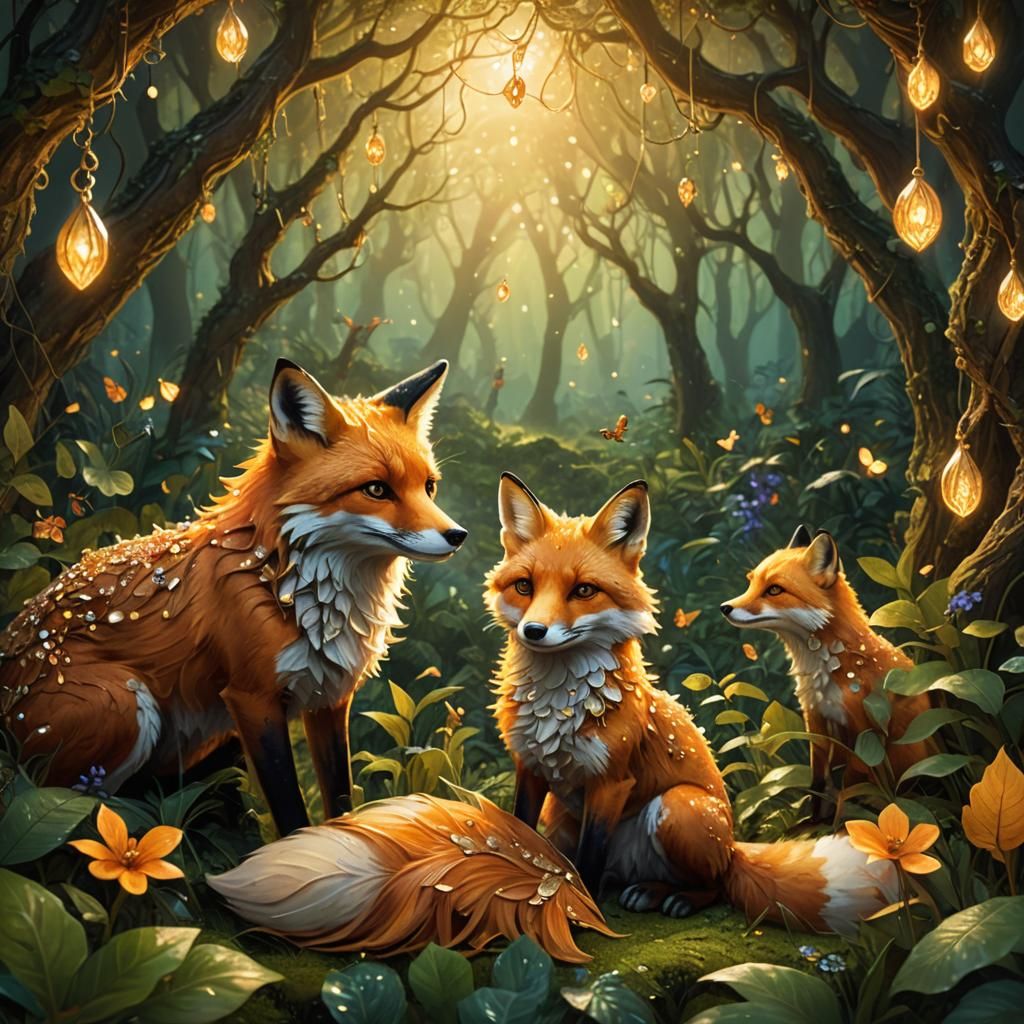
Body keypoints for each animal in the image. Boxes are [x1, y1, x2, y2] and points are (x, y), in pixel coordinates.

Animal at [0, 359, 467, 836]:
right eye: (376, 489)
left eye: (429, 487)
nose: (457, 535)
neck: (293, 593)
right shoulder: (252, 699)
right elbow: (290, 808)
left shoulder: (330, 700)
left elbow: (339, 799)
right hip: (124, 705)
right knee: (77, 807)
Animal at [486, 474, 897, 931]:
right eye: (524, 586)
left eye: (584, 590)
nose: (533, 631)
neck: (559, 706)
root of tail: (733, 844)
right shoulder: (530, 768)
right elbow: (521, 836)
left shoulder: (611, 783)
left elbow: (589, 863)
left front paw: (582, 918)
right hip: (560, 817)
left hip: (679, 806)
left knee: (716, 883)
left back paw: (672, 897)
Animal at [721, 526, 933, 803]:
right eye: (751, 583)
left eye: (774, 590)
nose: (724, 607)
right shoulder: (817, 725)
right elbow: (819, 785)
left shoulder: (862, 731)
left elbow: (856, 784)